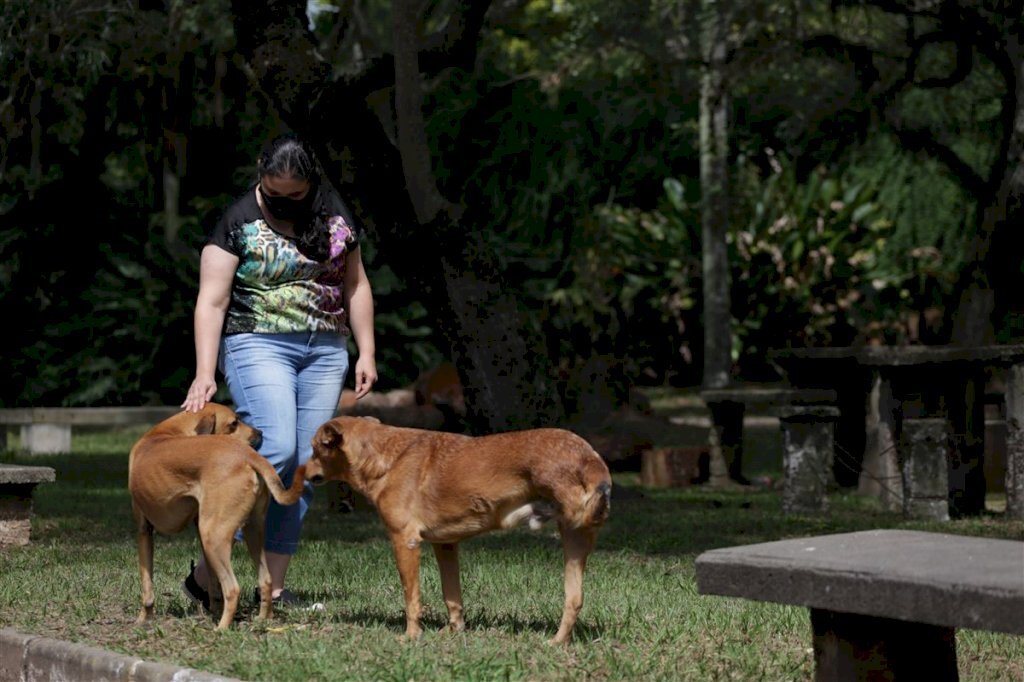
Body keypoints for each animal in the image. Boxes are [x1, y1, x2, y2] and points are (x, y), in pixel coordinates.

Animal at [128, 401, 305, 630]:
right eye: (234, 423)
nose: (260, 433)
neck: (170, 431)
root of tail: (248, 455)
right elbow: (213, 585)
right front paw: (212, 609)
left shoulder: (144, 530)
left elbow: (147, 583)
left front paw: (144, 618)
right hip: (250, 532)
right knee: (265, 580)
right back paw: (262, 619)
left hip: (213, 535)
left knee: (232, 588)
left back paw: (221, 629)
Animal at [303, 411, 606, 638]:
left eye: (314, 449)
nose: (302, 472)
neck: (386, 457)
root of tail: (590, 458)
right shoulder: (445, 545)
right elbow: (452, 596)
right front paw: (454, 631)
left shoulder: (405, 541)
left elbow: (412, 598)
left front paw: (411, 636)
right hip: (575, 541)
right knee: (575, 599)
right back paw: (556, 643)